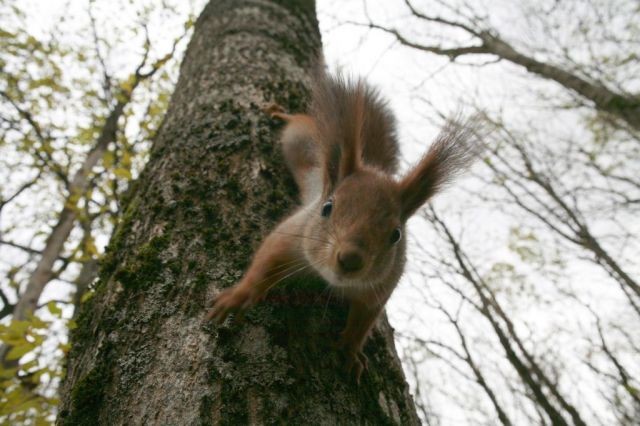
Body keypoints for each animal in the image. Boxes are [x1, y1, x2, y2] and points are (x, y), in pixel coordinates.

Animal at [208, 67, 482, 382]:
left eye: (396, 235)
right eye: (327, 208)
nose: (350, 259)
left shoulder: (380, 287)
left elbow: (363, 320)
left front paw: (351, 351)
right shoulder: (293, 234)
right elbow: (265, 262)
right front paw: (238, 296)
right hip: (298, 135)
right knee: (295, 120)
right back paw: (278, 112)